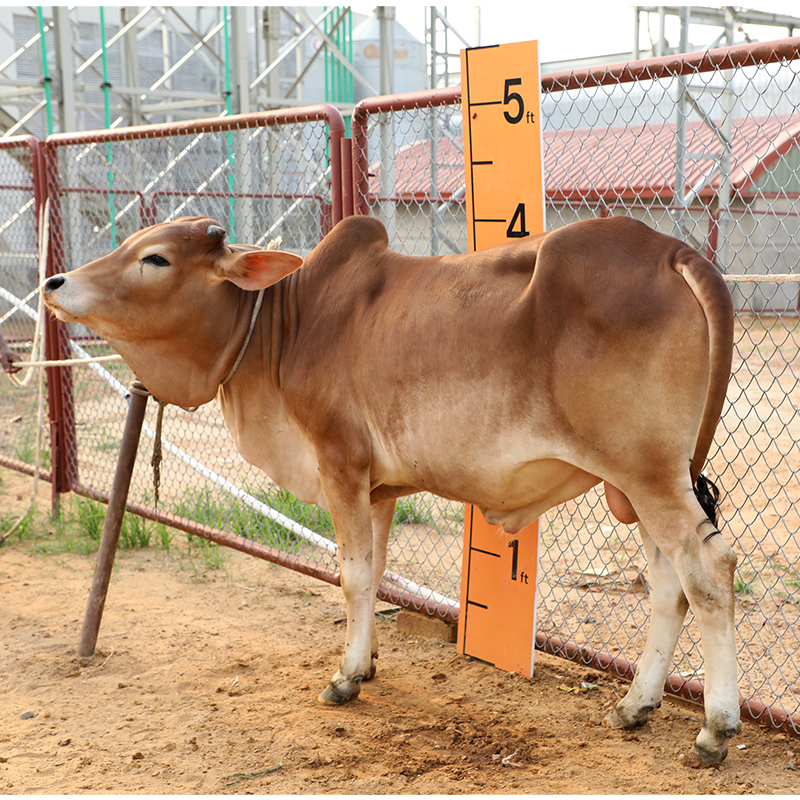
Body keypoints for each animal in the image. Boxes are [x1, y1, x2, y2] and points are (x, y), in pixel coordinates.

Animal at [43, 213, 739, 768]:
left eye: (156, 258)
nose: (54, 284)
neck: (281, 327)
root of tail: (670, 250)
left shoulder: (340, 464)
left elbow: (351, 576)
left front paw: (345, 677)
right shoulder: (377, 490)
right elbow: (374, 574)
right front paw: (369, 661)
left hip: (647, 473)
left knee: (710, 570)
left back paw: (714, 730)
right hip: (639, 483)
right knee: (669, 587)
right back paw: (635, 706)